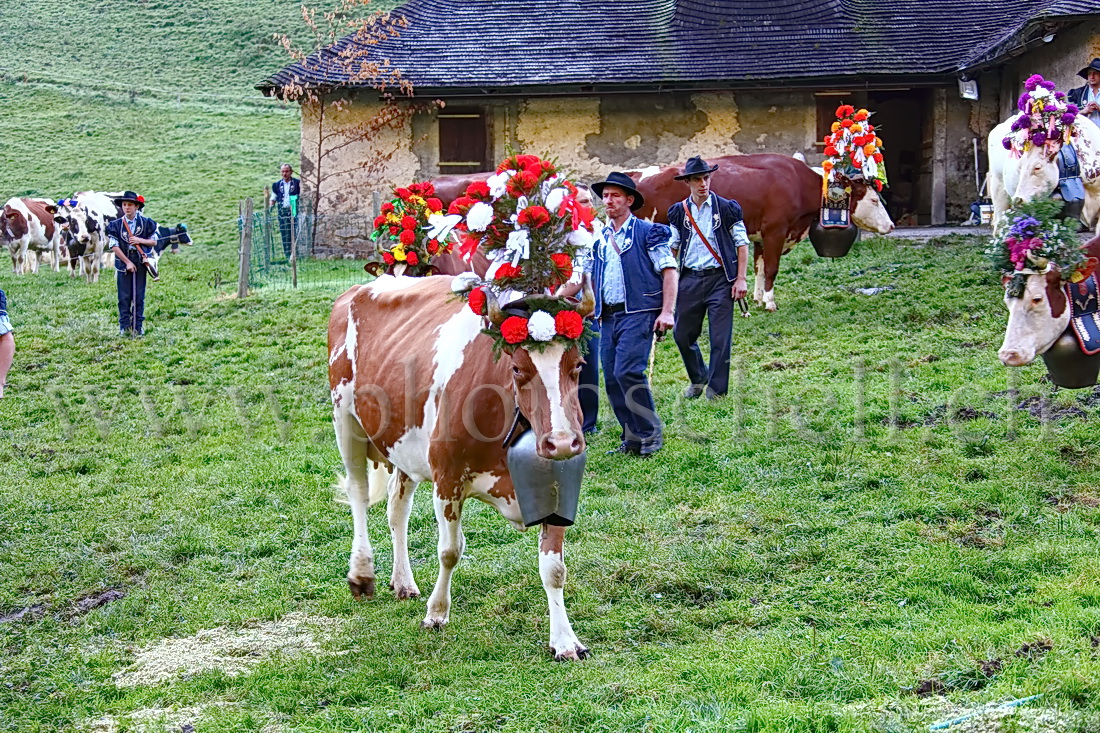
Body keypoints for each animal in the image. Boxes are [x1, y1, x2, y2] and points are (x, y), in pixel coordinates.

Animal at [325, 152, 598, 655]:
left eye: (579, 364)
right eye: (517, 368)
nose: (563, 442)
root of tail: (360, 290)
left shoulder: (558, 483)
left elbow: (554, 568)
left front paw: (565, 639)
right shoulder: (447, 475)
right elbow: (450, 549)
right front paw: (437, 613)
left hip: (402, 442)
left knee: (396, 508)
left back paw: (402, 581)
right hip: (345, 418)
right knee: (357, 494)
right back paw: (363, 573)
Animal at [629, 155, 893, 310]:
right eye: (874, 200)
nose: (891, 226)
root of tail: (636, 174)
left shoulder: (758, 236)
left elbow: (758, 266)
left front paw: (757, 298)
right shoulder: (775, 231)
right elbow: (772, 268)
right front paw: (770, 302)